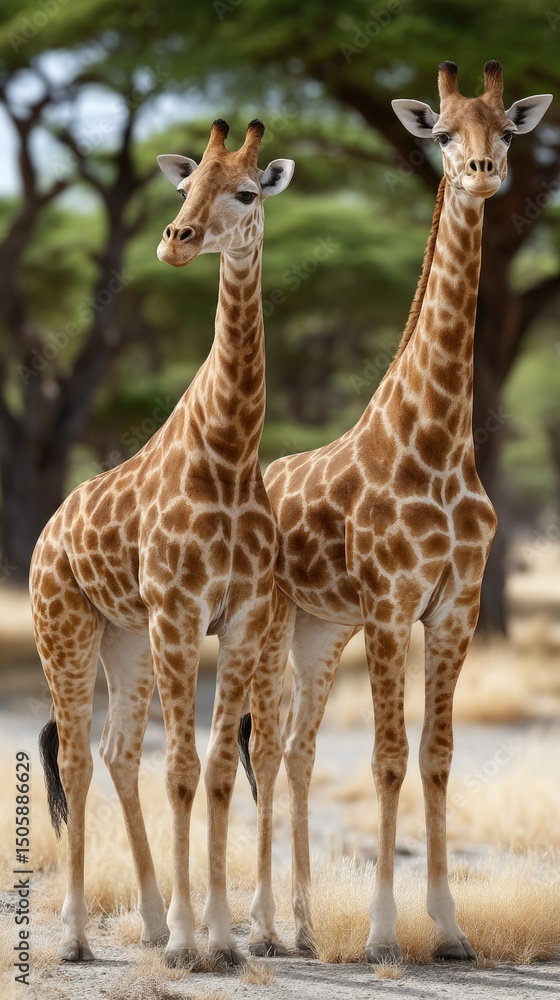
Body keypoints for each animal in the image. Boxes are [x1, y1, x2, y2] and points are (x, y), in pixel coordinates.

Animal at [32, 118, 294, 968]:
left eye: (244, 192)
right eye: (184, 188)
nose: (176, 241)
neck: (231, 451)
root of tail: (45, 533)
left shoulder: (238, 618)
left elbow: (214, 771)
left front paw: (220, 936)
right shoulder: (180, 614)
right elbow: (179, 768)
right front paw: (188, 941)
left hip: (126, 639)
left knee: (117, 751)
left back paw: (146, 920)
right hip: (65, 628)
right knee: (77, 756)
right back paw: (77, 937)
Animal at [241, 63, 552, 962]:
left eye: (507, 132)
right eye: (441, 133)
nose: (483, 174)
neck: (440, 444)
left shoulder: (454, 606)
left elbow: (438, 755)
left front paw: (448, 930)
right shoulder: (389, 604)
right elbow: (384, 758)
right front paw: (382, 933)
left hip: (322, 630)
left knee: (300, 747)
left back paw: (305, 927)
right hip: (270, 619)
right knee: (264, 743)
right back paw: (262, 928)